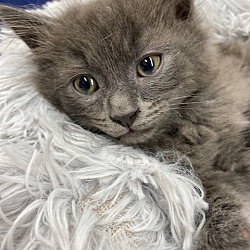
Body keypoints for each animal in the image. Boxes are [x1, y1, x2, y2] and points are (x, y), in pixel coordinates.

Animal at [0, 0, 250, 249]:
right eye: (84, 84)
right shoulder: (192, 170)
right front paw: (227, 236)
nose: (124, 115)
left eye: (148, 65)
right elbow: (209, 188)